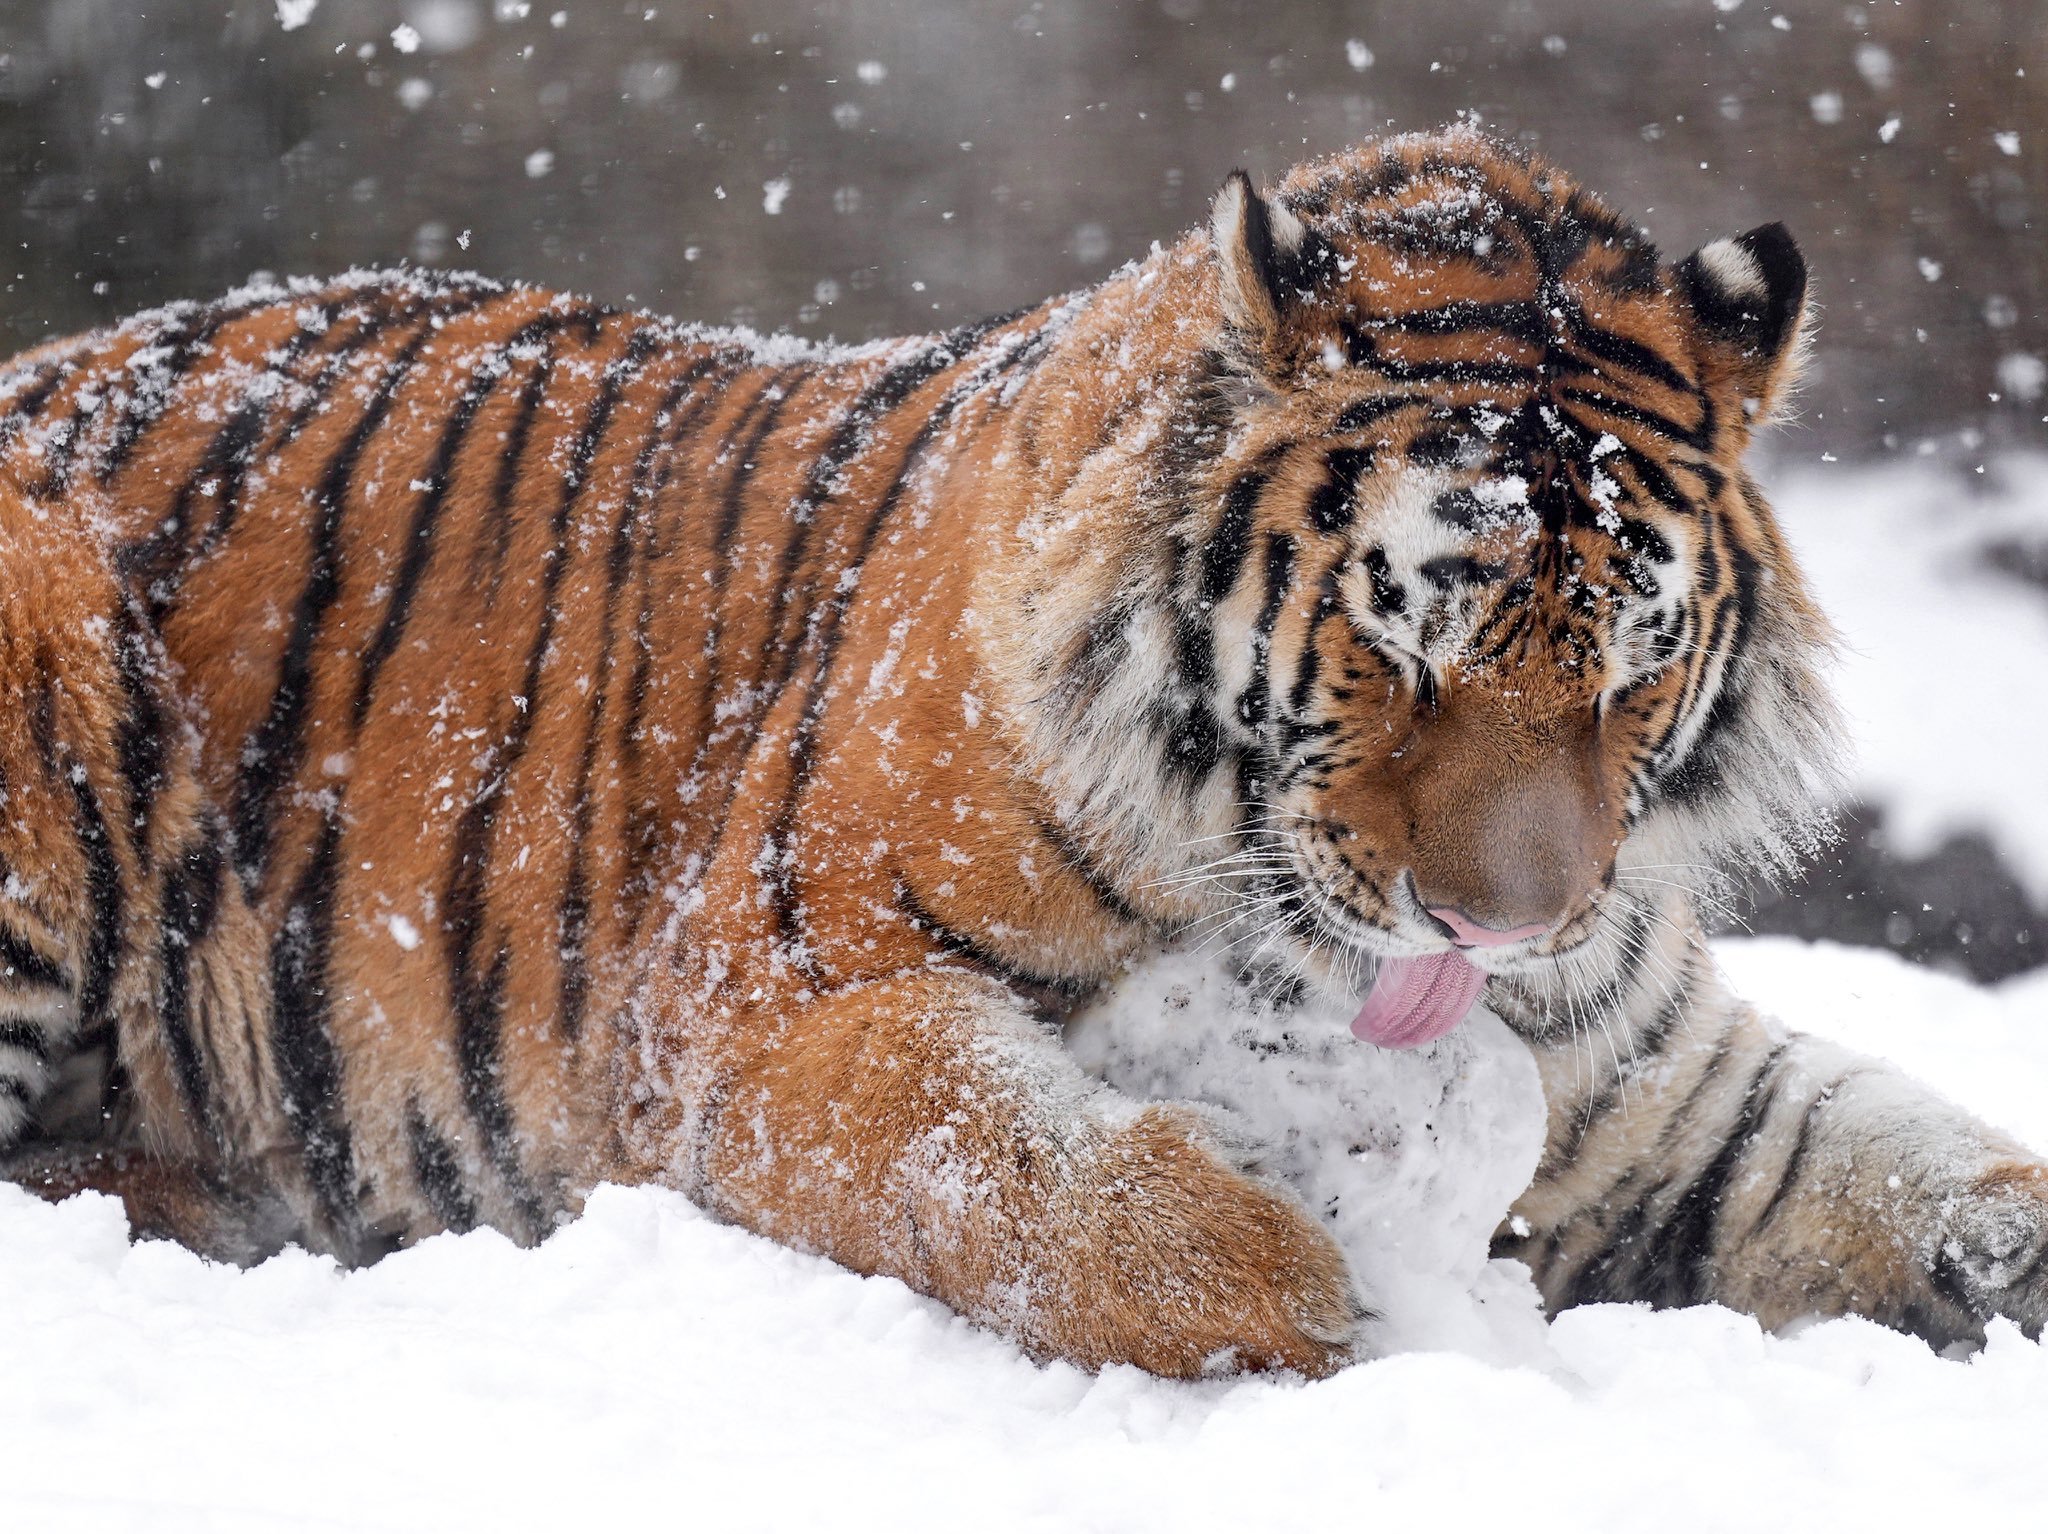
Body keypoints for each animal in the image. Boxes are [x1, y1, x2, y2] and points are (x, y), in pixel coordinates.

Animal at [4, 128, 2048, 1376]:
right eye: (1403, 641)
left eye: (1628, 669)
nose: (1503, 929)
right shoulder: (757, 1010)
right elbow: (1028, 1163)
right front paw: (1308, 1300)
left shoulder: (1655, 1092)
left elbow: (1916, 1167)